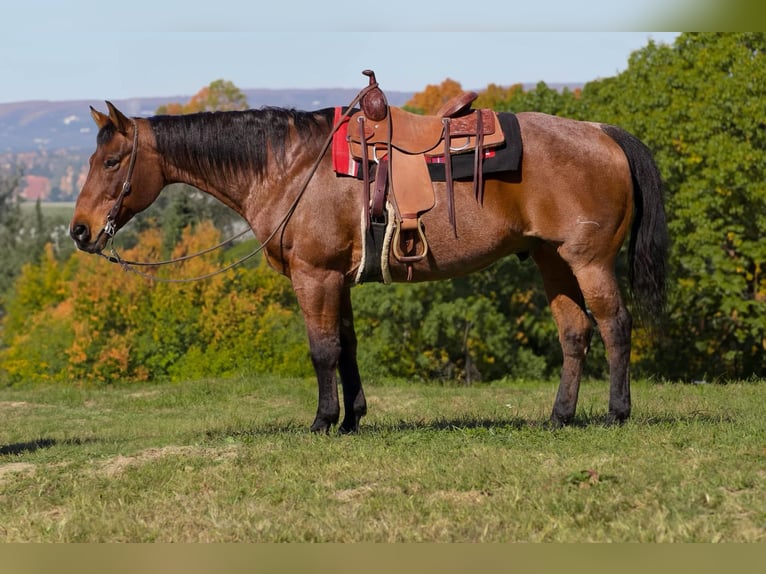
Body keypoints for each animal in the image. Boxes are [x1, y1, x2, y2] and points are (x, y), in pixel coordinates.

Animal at [72, 82, 672, 436]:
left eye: (113, 161)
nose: (80, 231)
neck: (291, 166)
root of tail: (602, 132)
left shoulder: (314, 276)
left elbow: (322, 350)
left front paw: (322, 421)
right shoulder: (337, 277)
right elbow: (347, 346)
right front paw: (352, 419)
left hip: (589, 261)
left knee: (615, 325)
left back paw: (617, 412)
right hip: (552, 261)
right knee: (575, 332)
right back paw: (559, 417)